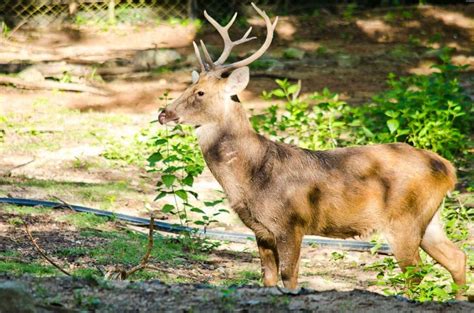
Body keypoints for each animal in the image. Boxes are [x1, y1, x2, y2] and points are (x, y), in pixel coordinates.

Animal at [158, 3, 466, 298]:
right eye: (189, 86)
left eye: (200, 92)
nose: (163, 113)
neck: (253, 176)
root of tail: (448, 169)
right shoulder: (261, 230)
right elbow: (267, 278)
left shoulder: (291, 223)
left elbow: (290, 277)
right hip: (429, 217)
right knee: (457, 257)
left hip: (404, 217)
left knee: (415, 273)